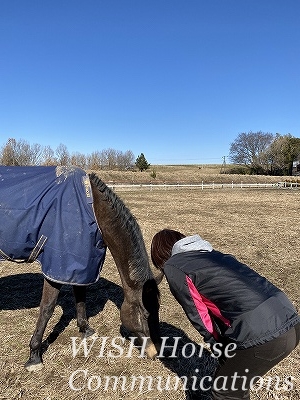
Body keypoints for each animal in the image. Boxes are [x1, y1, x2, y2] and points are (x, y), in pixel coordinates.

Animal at [0, 166, 161, 372]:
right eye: (146, 314)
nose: (154, 353)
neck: (91, 208)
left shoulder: (82, 263)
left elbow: (81, 296)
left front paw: (85, 329)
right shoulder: (58, 267)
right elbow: (47, 308)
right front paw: (34, 355)